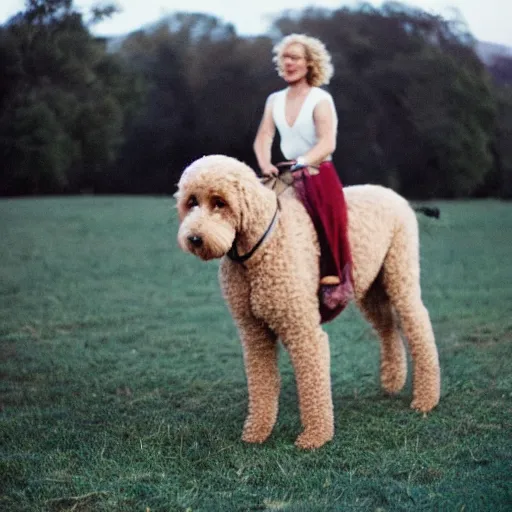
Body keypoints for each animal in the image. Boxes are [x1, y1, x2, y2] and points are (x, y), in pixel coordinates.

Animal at [176, 154, 440, 450]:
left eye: (220, 202)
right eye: (191, 202)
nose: (194, 239)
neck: (259, 247)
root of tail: (398, 198)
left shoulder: (302, 329)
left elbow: (312, 382)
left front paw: (315, 437)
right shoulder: (254, 333)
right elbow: (261, 384)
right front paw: (256, 433)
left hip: (400, 272)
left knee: (418, 324)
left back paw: (426, 399)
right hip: (372, 286)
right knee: (387, 327)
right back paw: (393, 382)